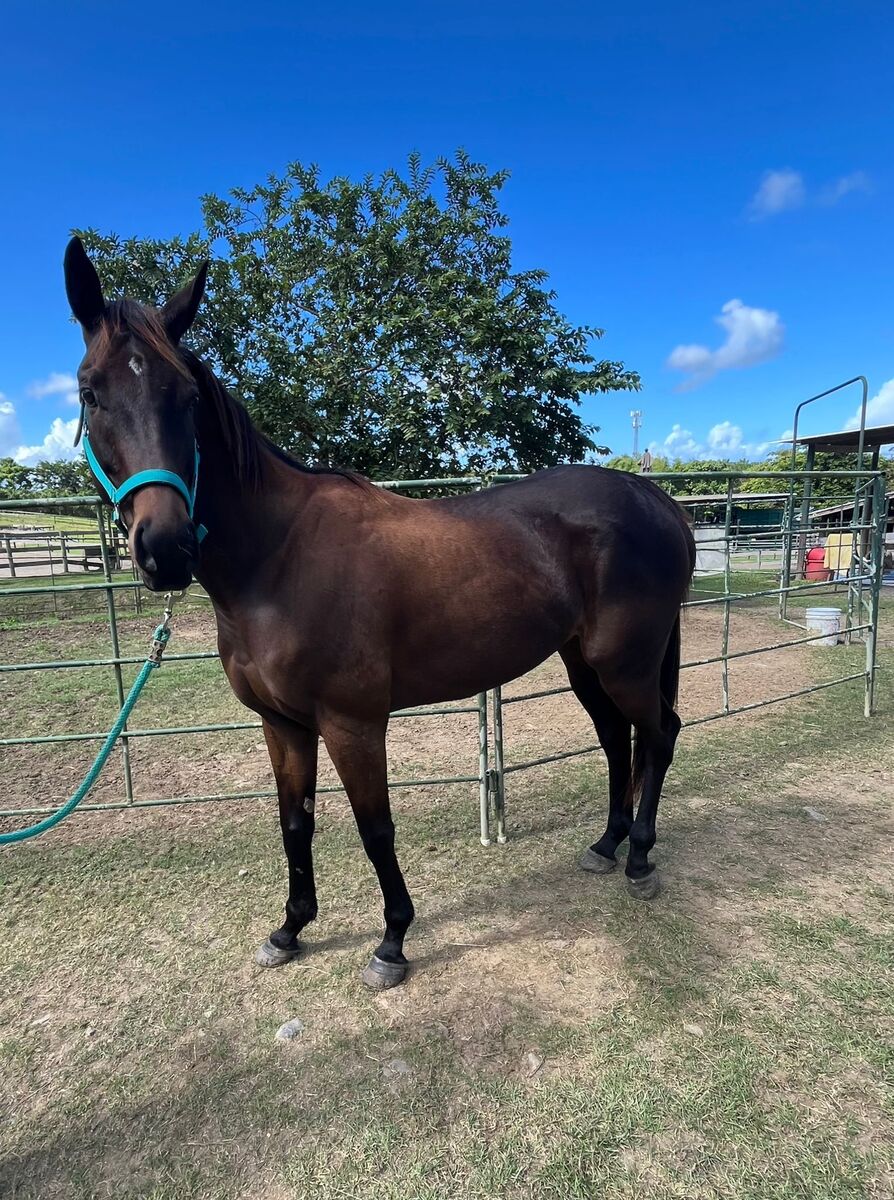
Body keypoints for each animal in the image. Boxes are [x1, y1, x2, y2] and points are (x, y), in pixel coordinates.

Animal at [63, 237, 695, 990]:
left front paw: (391, 942)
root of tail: (658, 501)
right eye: (90, 391)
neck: (278, 557)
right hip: (585, 665)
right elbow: (295, 823)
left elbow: (375, 828)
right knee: (615, 739)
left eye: (186, 397)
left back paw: (640, 858)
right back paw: (606, 845)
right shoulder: (282, 724)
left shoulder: (353, 723)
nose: (166, 548)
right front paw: (290, 930)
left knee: (658, 734)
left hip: (625, 663)